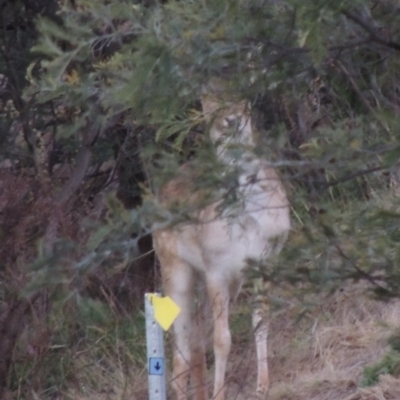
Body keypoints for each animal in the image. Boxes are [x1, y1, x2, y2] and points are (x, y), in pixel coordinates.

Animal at [153, 79, 290, 398]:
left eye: (244, 99)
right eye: (209, 104)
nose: (232, 119)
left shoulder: (263, 261)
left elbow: (260, 322)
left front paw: (263, 384)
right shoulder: (216, 269)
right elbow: (222, 339)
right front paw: (220, 393)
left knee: (195, 343)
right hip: (175, 269)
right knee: (180, 346)